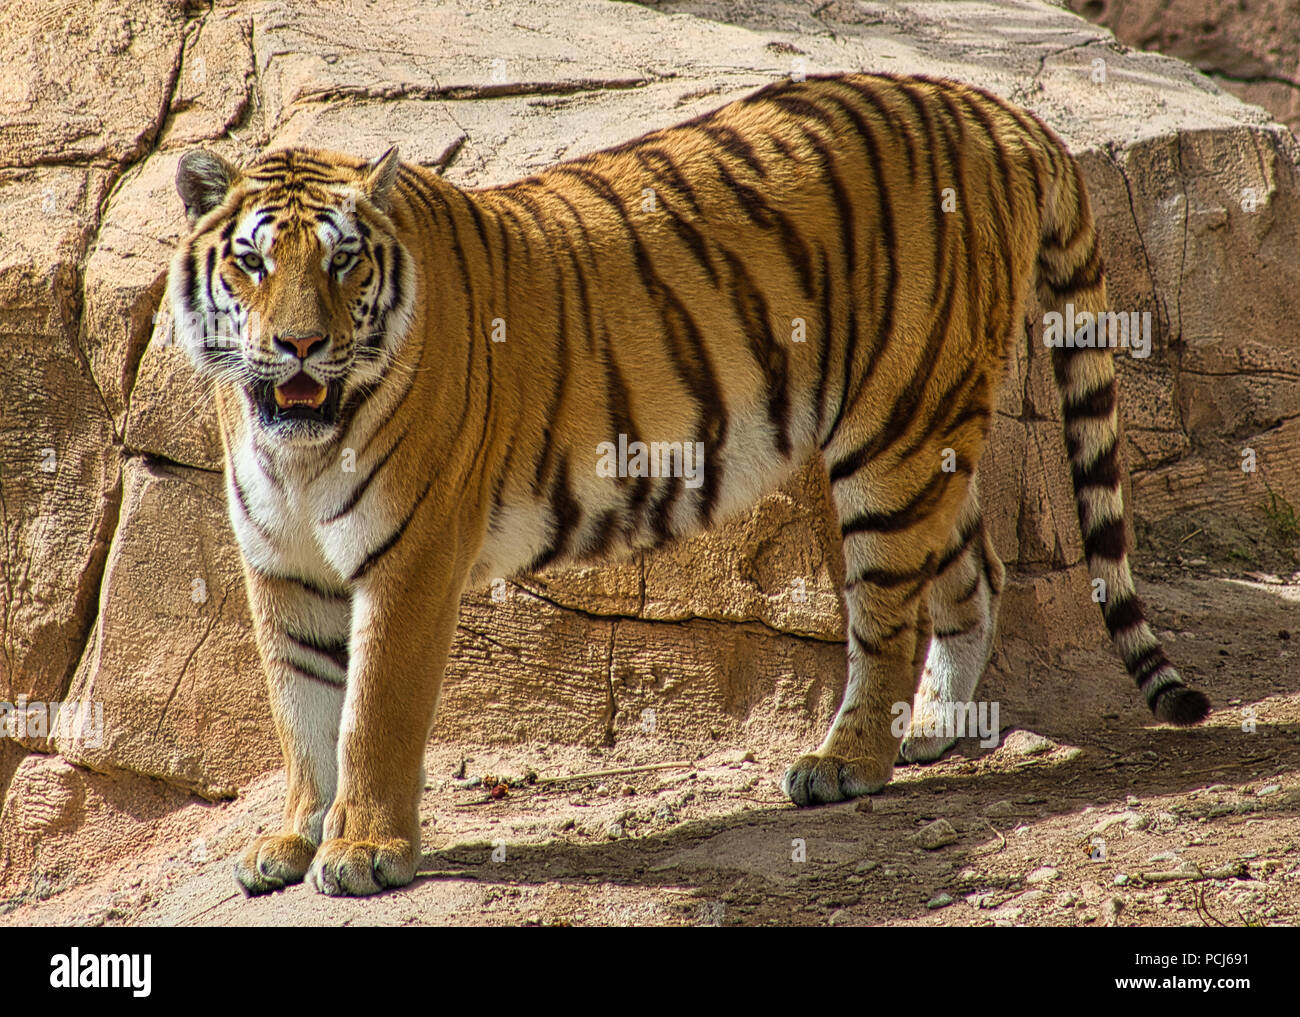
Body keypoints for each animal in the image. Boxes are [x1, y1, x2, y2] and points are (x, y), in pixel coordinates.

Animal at [167, 71, 1211, 899]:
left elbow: (371, 713)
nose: (299, 345)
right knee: (977, 572)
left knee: (889, 616)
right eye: (252, 260)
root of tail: (987, 104)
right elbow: (301, 710)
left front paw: (362, 850)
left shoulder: (410, 560)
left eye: (344, 259)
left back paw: (847, 760)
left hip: (892, 437)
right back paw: (938, 725)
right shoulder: (282, 565)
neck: (301, 444)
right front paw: (294, 838)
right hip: (929, 438)